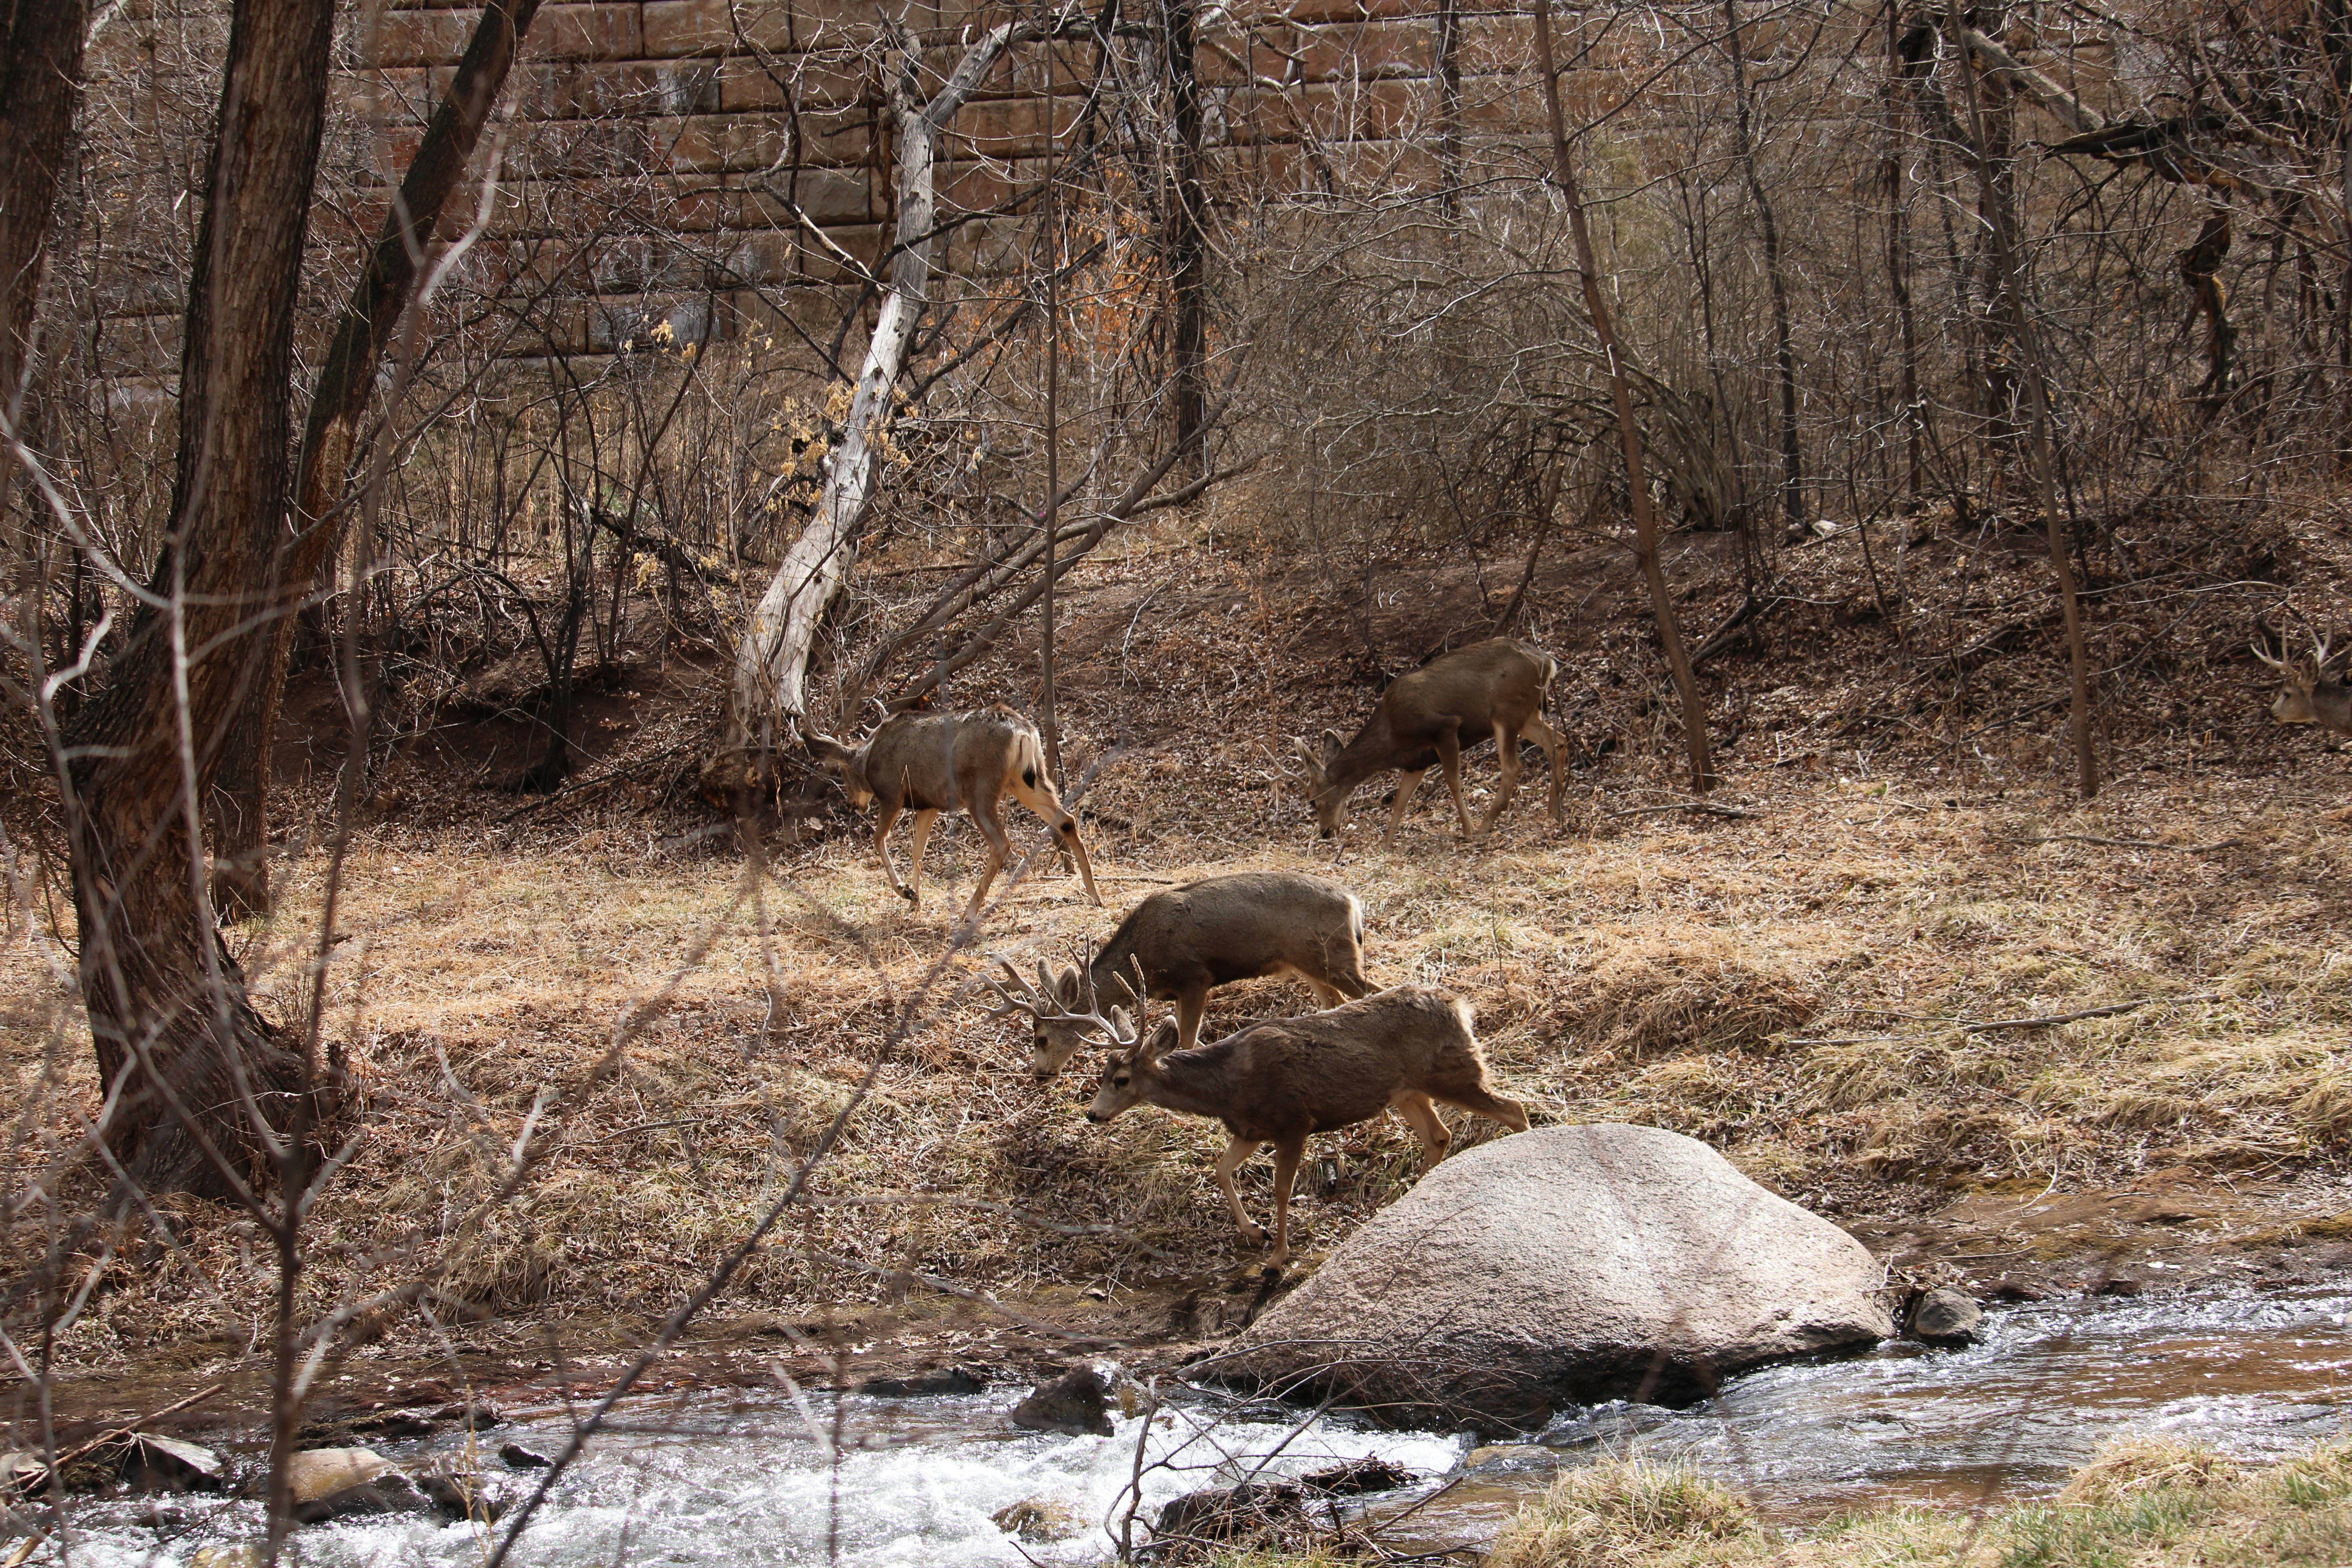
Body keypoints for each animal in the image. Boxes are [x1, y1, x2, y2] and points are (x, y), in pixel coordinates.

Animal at [801, 704, 1102, 920]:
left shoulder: (892, 795)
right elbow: (917, 851)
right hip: (1027, 780)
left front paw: (904, 891)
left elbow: (878, 840)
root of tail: (1024, 732)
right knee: (1066, 820)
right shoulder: (928, 804)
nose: (853, 804)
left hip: (979, 789)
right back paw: (1094, 895)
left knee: (1001, 843)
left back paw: (970, 912)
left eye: (842, 774)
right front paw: (914, 900)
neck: (869, 758)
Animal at [991, 968, 1528, 1267]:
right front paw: (1254, 1232)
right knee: (1439, 1136)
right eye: (1103, 1074)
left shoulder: (1293, 1121)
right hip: (1407, 1091)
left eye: (1121, 1079)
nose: (1093, 1114)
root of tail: (1462, 1006)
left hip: (1454, 1070)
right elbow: (1221, 1170)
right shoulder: (1248, 1130)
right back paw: (1405, 1202)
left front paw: (1277, 1255)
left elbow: (1282, 1189)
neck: (1229, 1087)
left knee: (1514, 1110)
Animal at [997, 871, 1372, 1082]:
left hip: (1336, 958)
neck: (1143, 957)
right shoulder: (1177, 992)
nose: (1039, 1076)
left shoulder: (1195, 978)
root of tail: (1353, 902)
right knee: (1334, 1004)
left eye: (1042, 1038)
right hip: (1312, 966)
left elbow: (1188, 1042)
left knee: (1368, 992)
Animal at [1293, 637, 1565, 844]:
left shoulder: (1444, 728)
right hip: (1528, 713)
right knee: (1558, 741)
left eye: (1313, 801)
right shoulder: (1416, 762)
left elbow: (1453, 782)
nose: (1326, 833)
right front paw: (1386, 845)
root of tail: (1548, 662)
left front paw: (1467, 831)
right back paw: (1554, 811)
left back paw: (1483, 829)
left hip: (1506, 712)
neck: (1390, 737)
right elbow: (1400, 802)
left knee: (1513, 767)